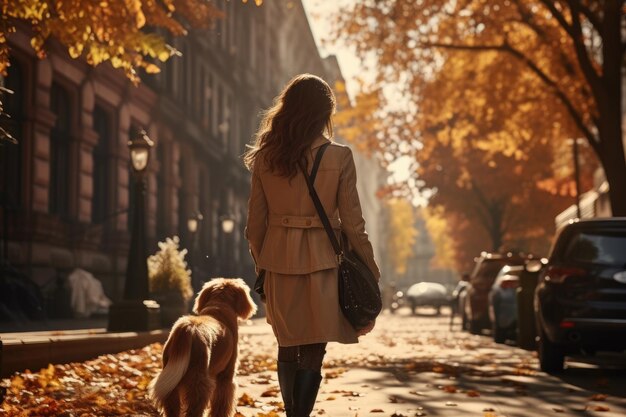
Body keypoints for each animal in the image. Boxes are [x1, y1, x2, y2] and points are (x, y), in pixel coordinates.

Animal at [149, 276, 256, 416]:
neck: (220, 305)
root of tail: (188, 327)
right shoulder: (226, 376)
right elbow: (221, 404)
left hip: (171, 380)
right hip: (199, 381)